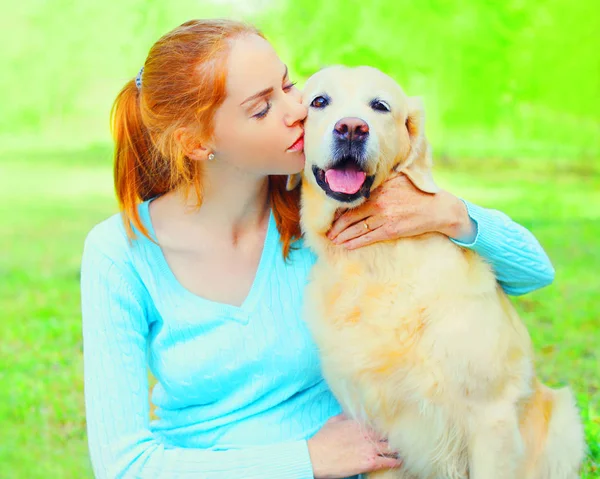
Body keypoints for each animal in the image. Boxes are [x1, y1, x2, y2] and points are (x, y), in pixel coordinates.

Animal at [286, 66, 584, 479]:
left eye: (380, 106)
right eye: (319, 101)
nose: (351, 128)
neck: (375, 261)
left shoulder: (491, 418)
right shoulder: (377, 432)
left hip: (564, 420)